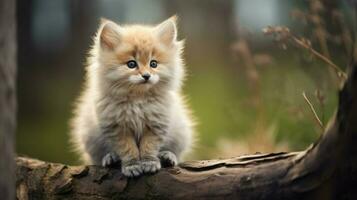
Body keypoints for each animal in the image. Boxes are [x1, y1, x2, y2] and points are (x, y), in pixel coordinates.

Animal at [68, 16, 193, 177]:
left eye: (153, 64)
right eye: (131, 64)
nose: (146, 76)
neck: (137, 100)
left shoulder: (156, 124)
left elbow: (149, 146)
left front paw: (149, 163)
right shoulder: (117, 127)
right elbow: (128, 149)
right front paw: (132, 166)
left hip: (181, 133)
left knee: (176, 152)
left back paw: (167, 156)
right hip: (90, 137)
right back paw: (111, 158)